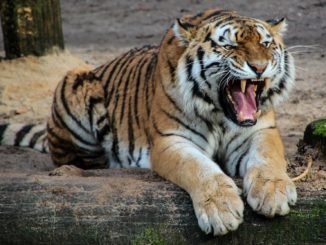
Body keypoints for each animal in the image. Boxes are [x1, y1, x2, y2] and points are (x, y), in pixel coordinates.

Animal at [0, 8, 298, 235]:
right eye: (229, 45)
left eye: (266, 44)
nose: (259, 67)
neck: (219, 114)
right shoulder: (171, 140)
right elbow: (199, 169)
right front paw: (221, 209)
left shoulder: (260, 131)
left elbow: (268, 157)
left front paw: (273, 192)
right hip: (75, 79)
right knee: (76, 160)